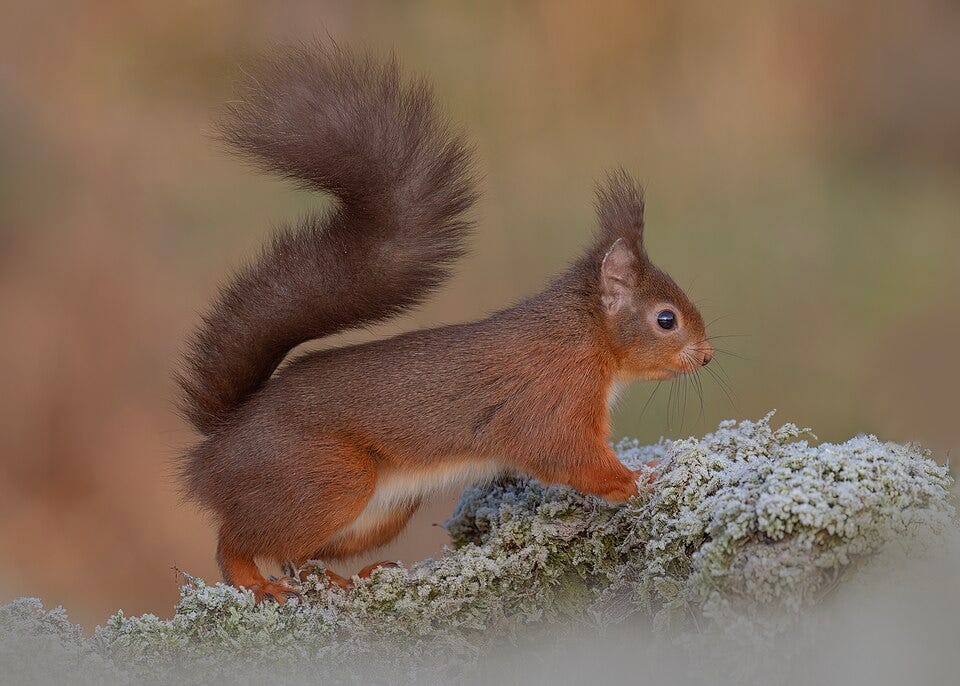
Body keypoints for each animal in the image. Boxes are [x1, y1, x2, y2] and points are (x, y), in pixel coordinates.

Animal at [177, 43, 713, 603]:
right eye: (667, 319)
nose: (706, 355)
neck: (584, 340)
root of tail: (219, 446)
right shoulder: (551, 398)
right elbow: (567, 455)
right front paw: (635, 479)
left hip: (377, 511)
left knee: (297, 555)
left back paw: (349, 579)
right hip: (324, 480)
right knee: (237, 539)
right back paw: (255, 582)